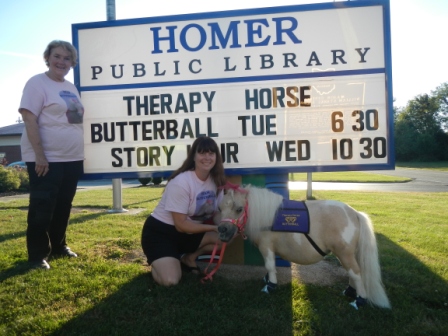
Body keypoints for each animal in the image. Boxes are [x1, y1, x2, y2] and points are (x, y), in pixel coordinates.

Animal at [215, 185, 390, 308]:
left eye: (239, 209)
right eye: (220, 208)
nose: (222, 231)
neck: (268, 217)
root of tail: (354, 213)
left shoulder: (266, 247)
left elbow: (270, 266)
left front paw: (270, 285)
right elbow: (269, 266)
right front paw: (267, 279)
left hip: (344, 253)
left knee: (356, 273)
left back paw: (359, 301)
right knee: (352, 273)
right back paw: (349, 292)